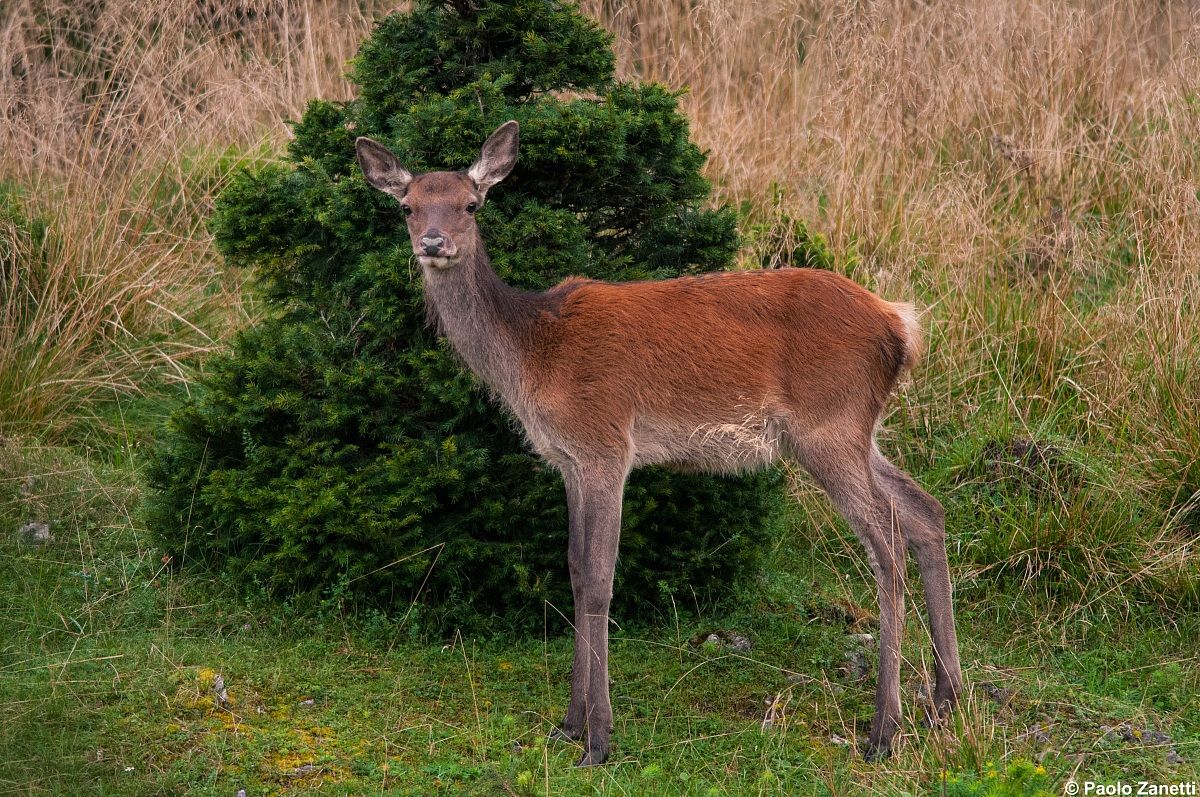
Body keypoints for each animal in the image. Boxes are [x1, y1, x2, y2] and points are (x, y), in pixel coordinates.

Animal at [356, 120, 964, 766]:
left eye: (472, 204)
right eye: (407, 206)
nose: (434, 241)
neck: (531, 355)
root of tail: (901, 325)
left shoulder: (603, 443)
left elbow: (600, 580)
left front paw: (598, 739)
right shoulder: (568, 461)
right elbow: (575, 571)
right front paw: (567, 725)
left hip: (829, 424)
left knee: (887, 541)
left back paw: (884, 730)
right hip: (857, 431)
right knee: (924, 510)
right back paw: (945, 700)